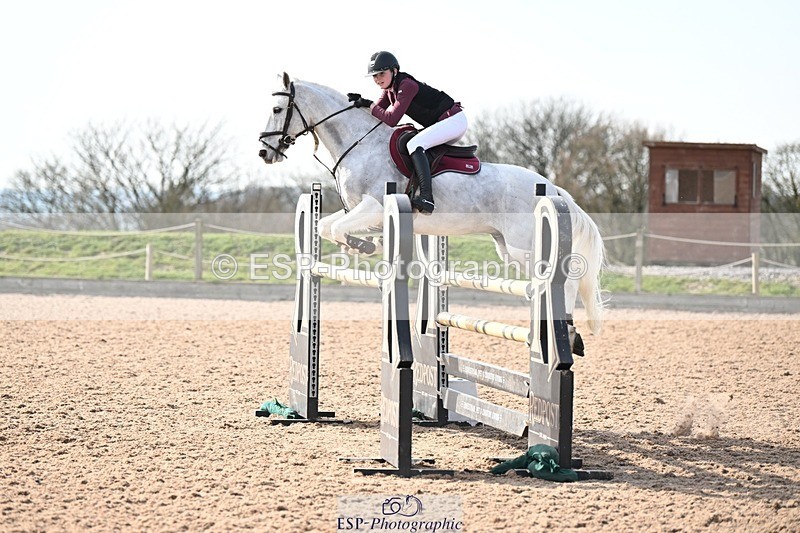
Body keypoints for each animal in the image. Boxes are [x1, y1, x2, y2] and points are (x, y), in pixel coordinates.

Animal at [258, 73, 605, 335]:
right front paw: (363, 245)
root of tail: (552, 188)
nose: (264, 152)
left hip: (525, 246)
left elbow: (335, 229)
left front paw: (365, 246)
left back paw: (567, 330)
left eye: (276, 109)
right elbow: (326, 227)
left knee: (566, 277)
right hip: (507, 247)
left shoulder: (373, 206)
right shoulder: (361, 212)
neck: (359, 142)